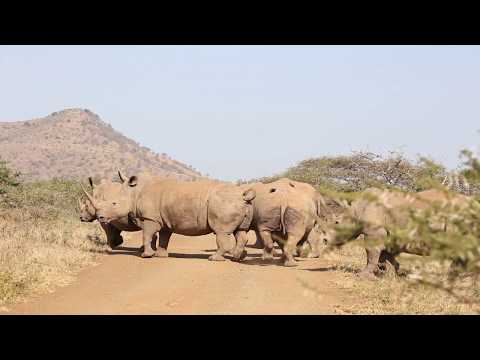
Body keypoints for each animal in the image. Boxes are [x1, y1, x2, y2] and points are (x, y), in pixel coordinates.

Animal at [89, 175, 255, 262]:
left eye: (114, 203)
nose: (100, 217)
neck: (134, 193)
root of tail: (242, 196)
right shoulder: (163, 220)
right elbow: (164, 237)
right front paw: (160, 256)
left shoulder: (150, 218)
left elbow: (147, 235)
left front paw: (146, 255)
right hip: (238, 204)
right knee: (240, 231)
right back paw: (238, 258)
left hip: (223, 203)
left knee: (221, 232)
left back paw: (214, 259)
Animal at [324, 187, 470, 278]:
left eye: (337, 223)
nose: (325, 240)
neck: (356, 209)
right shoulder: (388, 233)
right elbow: (385, 255)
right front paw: (389, 275)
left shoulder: (374, 232)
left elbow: (371, 253)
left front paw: (363, 276)